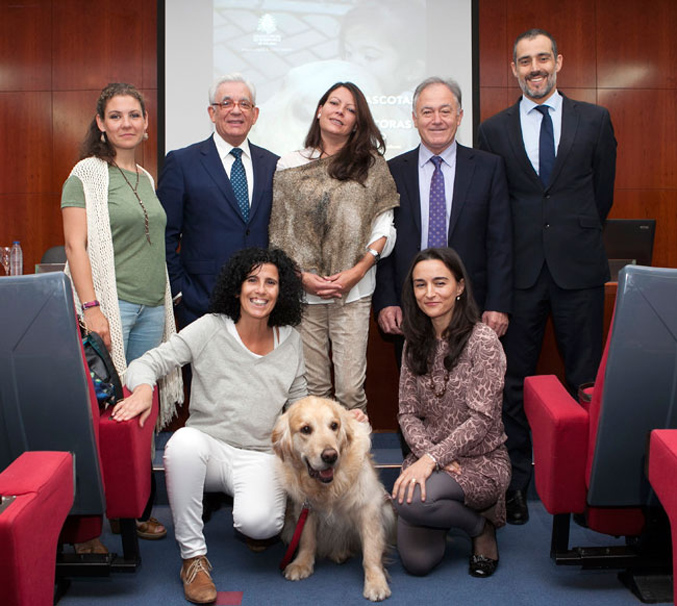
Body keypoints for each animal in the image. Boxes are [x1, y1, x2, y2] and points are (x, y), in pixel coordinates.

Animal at [270, 394, 394, 604]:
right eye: (306, 429)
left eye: (334, 425)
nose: (330, 456)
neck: (327, 487)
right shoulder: (305, 507)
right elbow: (307, 539)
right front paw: (302, 563)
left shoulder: (368, 507)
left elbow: (371, 551)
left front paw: (376, 582)